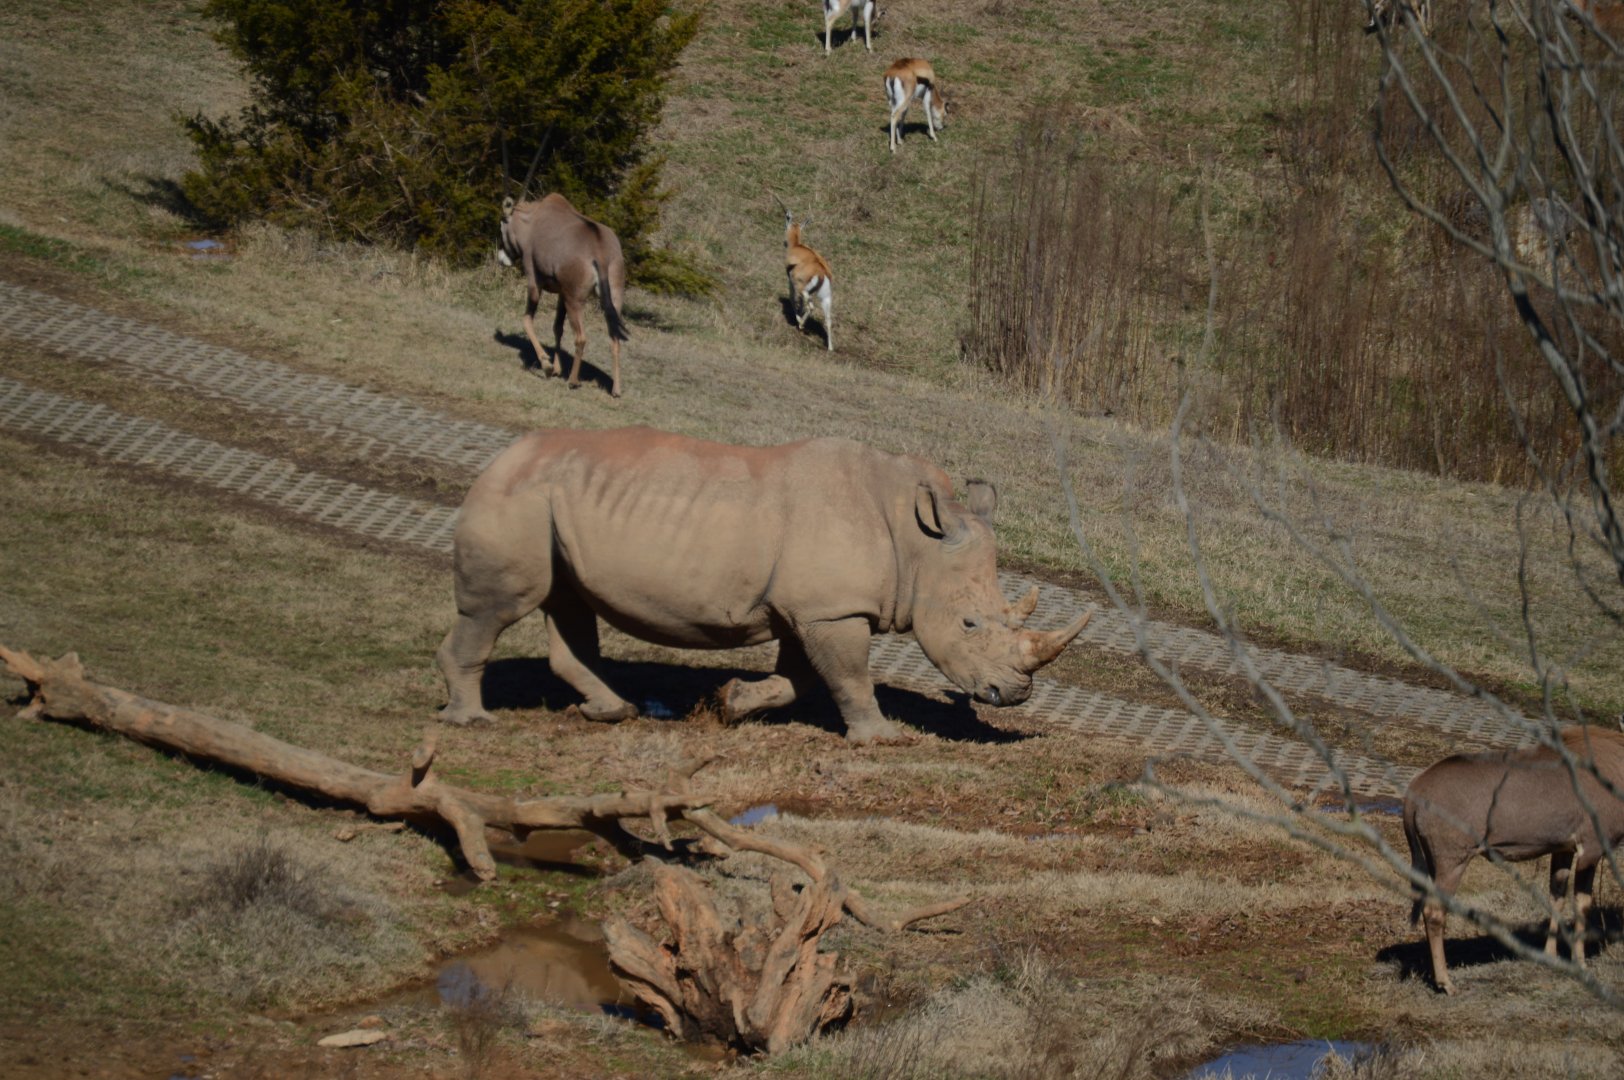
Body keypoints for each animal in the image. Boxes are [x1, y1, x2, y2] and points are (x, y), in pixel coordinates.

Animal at [435, 427, 1090, 744]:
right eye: (969, 623)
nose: (1015, 696)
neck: (918, 542)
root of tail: (499, 456)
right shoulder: (833, 610)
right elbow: (849, 675)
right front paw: (881, 739)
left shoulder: (810, 609)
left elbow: (799, 679)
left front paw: (732, 704)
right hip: (517, 498)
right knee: (498, 609)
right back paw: (471, 722)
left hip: (551, 500)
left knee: (567, 604)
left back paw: (612, 711)